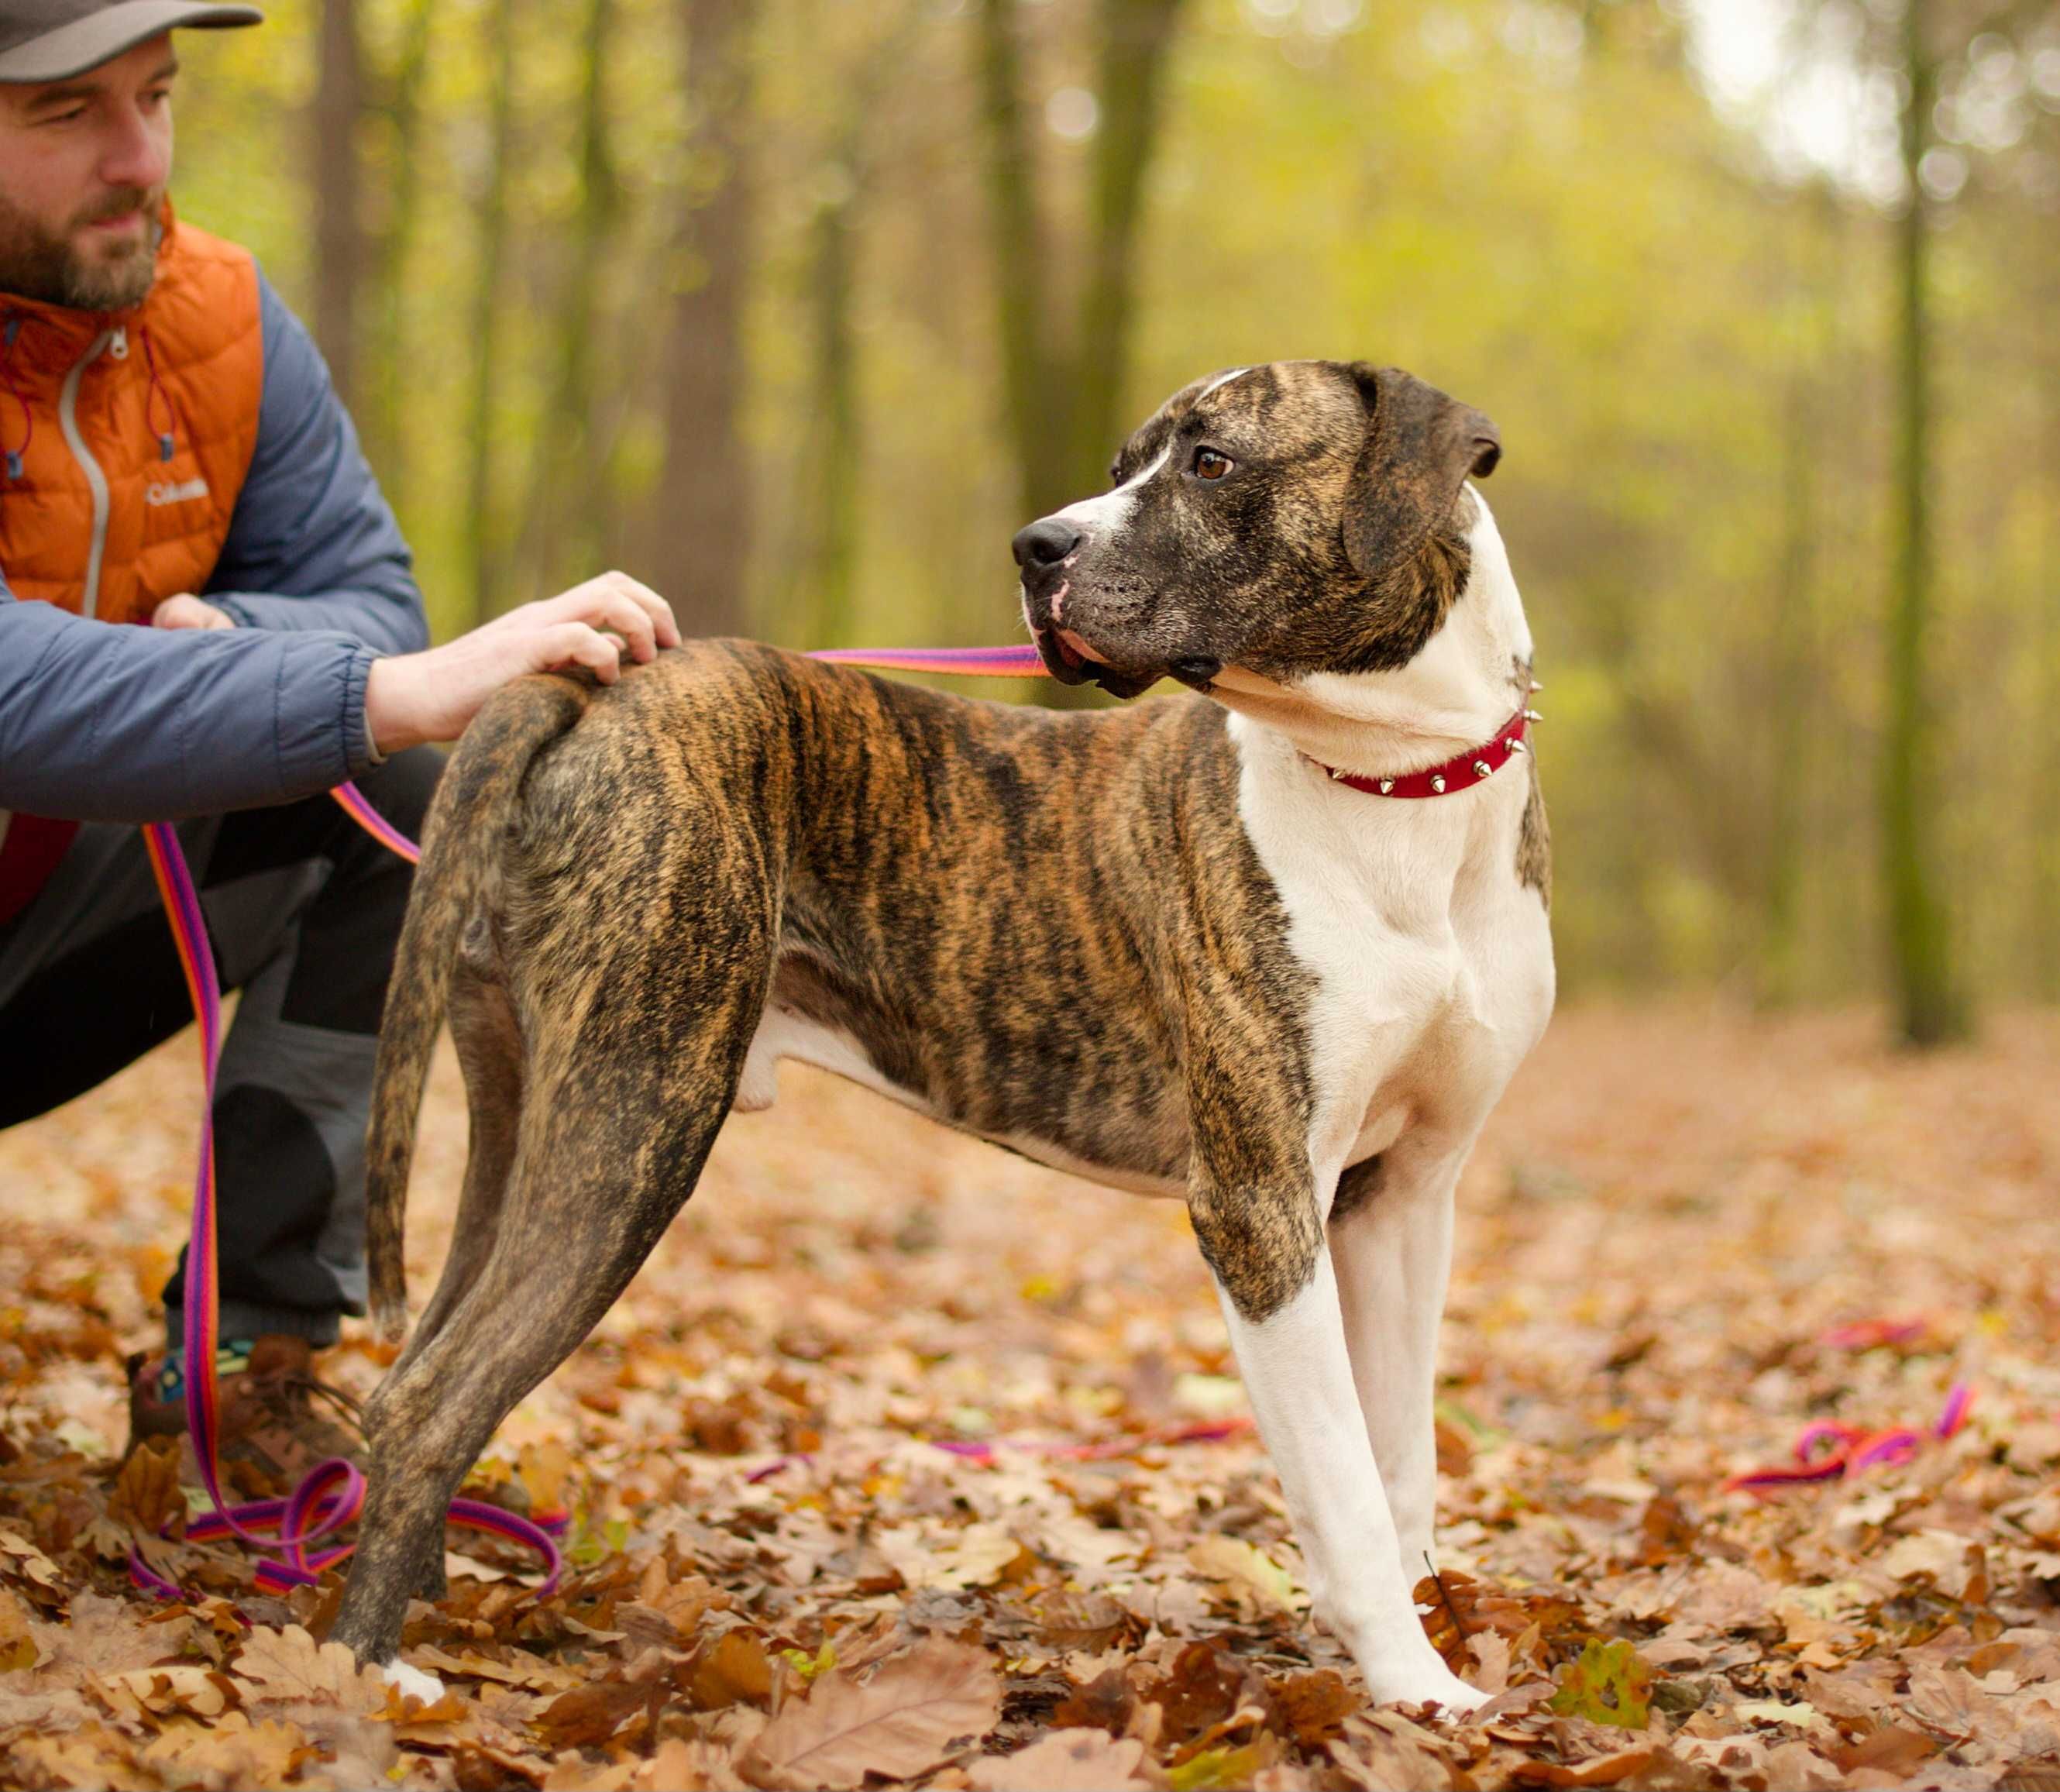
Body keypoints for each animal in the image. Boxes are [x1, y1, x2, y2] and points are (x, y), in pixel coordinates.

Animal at [333, 360, 1549, 1713]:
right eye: (1127, 460)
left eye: (1211, 462)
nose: (1037, 546)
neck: (1393, 781)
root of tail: (596, 689)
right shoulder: (1260, 1205)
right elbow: (1338, 1472)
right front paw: (1417, 1689)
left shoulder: (1402, 1196)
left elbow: (1401, 1458)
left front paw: (1428, 1637)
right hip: (635, 1116)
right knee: (425, 1402)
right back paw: (367, 1678)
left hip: (525, 1116)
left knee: (412, 1377)